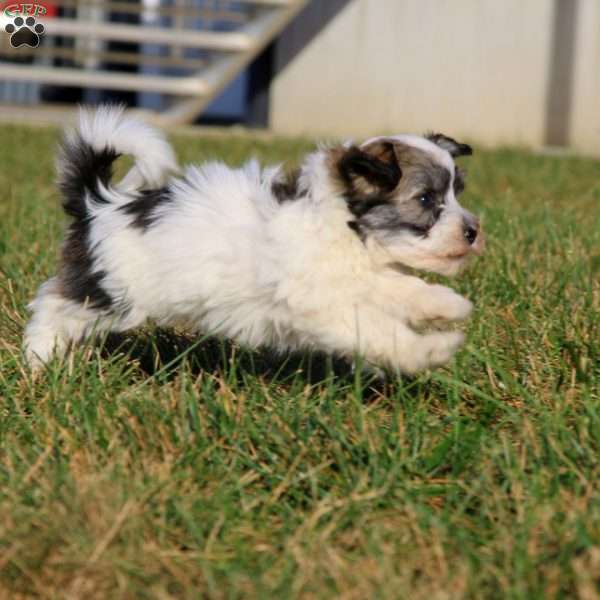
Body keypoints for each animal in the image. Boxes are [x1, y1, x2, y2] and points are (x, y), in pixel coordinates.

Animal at [24, 105, 482, 372]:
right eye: (426, 200)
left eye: (457, 191)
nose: (473, 231)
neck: (338, 224)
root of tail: (99, 202)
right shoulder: (322, 306)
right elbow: (379, 330)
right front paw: (433, 351)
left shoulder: (359, 277)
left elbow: (401, 287)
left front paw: (447, 305)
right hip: (110, 291)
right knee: (53, 304)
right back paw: (39, 360)